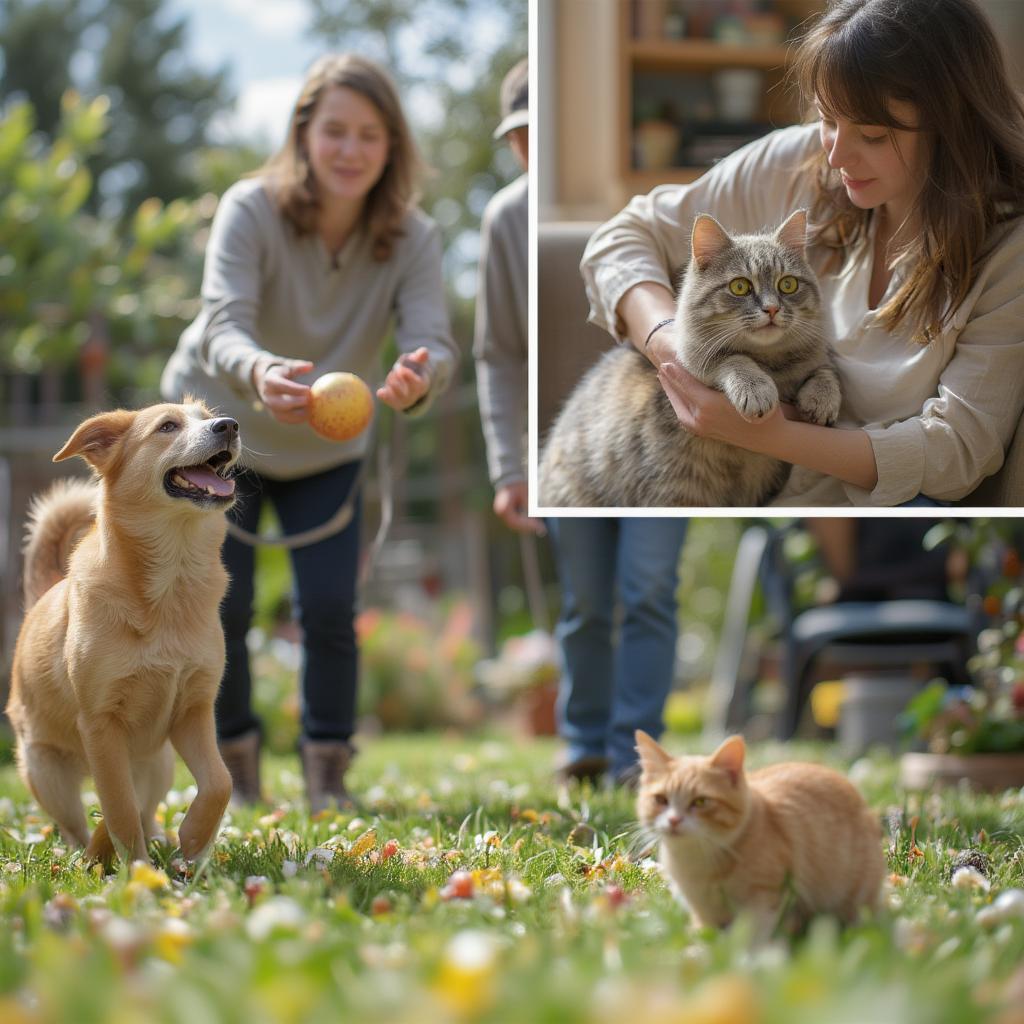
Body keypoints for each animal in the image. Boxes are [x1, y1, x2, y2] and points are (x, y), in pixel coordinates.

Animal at [7, 399, 238, 864]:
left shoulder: (193, 711)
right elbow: (119, 806)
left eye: (209, 416)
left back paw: (156, 841)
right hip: (46, 771)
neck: (172, 580)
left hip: (159, 764)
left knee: (146, 808)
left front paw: (192, 840)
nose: (230, 426)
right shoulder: (100, 723)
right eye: (167, 426)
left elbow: (219, 782)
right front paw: (137, 870)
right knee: (77, 826)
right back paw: (87, 857)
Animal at [536, 210, 839, 507]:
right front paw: (755, 387)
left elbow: (824, 370)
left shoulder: (814, 358)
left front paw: (822, 397)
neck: (772, 364)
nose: (772, 309)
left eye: (788, 284)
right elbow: (733, 359)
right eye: (740, 287)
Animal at [634, 729, 884, 937]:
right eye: (661, 800)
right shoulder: (701, 907)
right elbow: (704, 931)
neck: (697, 861)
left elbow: (754, 934)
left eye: (701, 801)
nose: (674, 820)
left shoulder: (766, 896)